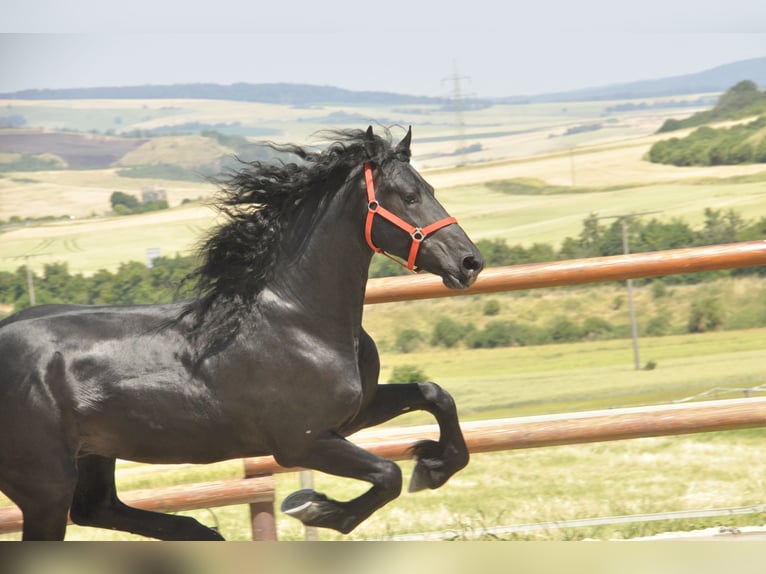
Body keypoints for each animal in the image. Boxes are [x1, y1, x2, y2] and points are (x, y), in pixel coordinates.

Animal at [0, 125, 484, 540]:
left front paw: (434, 465)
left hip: (95, 454)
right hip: (46, 488)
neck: (300, 319)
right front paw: (316, 507)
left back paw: (202, 533)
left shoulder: (350, 416)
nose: (470, 262)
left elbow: (435, 395)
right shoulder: (301, 442)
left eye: (431, 190)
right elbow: (388, 474)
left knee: (98, 508)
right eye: (409, 196)